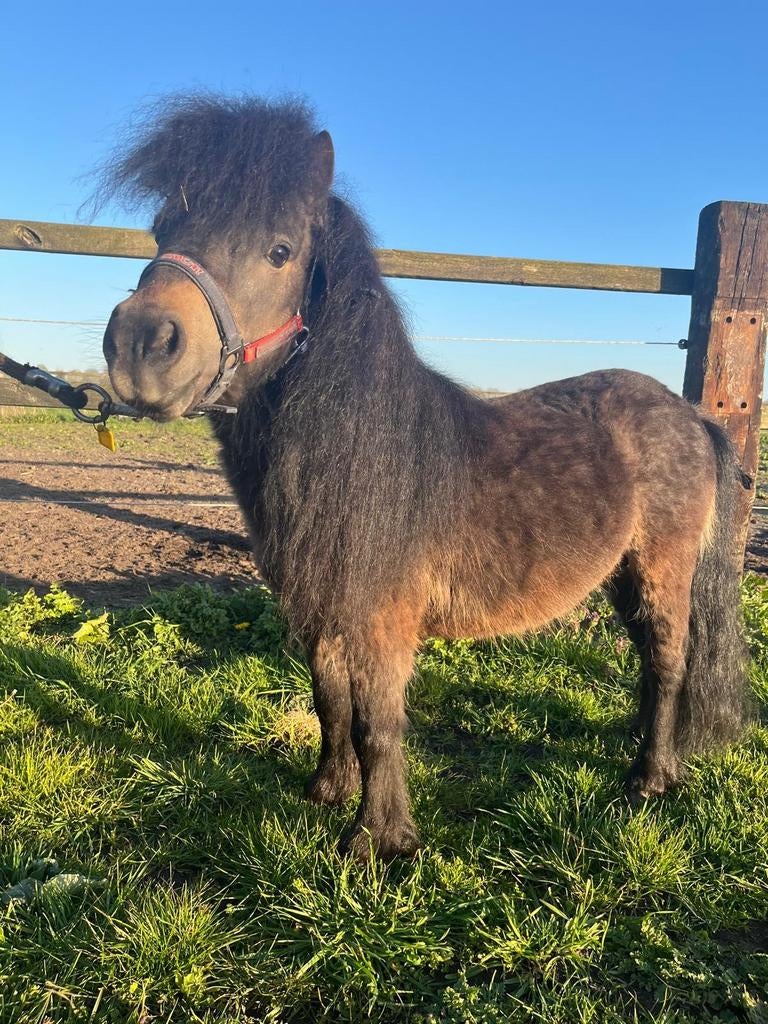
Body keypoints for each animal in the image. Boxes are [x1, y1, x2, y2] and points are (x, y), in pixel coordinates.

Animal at [99, 96, 749, 860]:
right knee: (649, 664)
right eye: (162, 229)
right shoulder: (322, 608)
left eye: (280, 250)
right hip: (619, 573)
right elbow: (331, 703)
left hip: (663, 568)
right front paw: (328, 791)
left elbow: (378, 724)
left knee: (670, 662)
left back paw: (650, 777)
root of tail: (691, 417)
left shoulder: (382, 620)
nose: (140, 344)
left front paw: (379, 841)